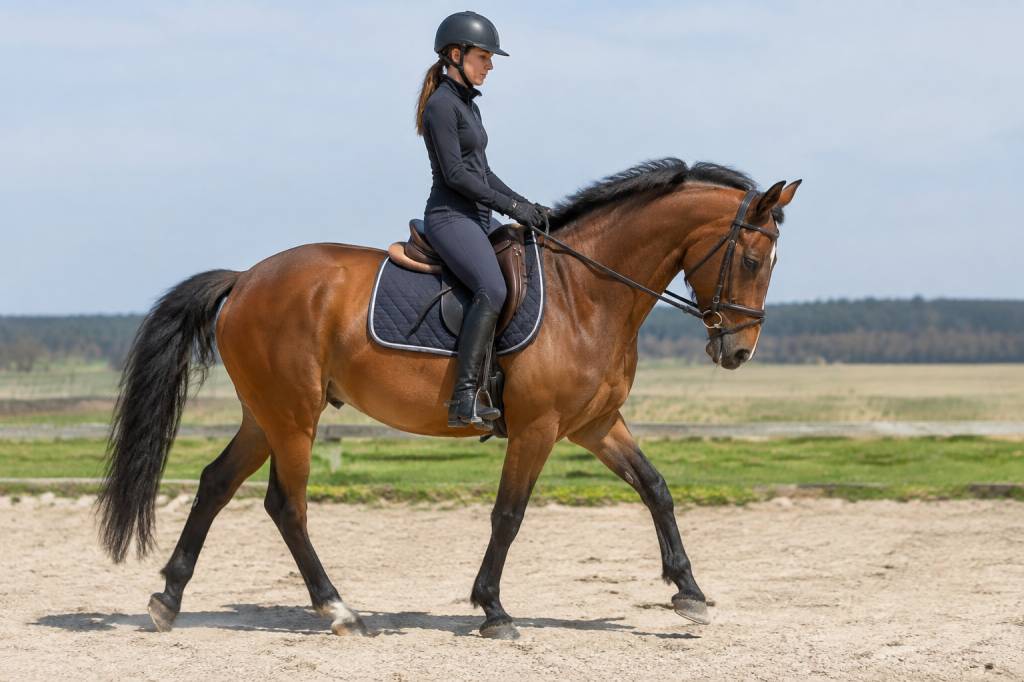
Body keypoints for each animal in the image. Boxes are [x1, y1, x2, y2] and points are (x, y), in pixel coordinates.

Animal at [97, 158, 800, 639]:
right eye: (753, 259)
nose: (738, 352)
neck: (587, 292)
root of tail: (245, 279)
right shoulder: (539, 427)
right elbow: (509, 515)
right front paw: (493, 609)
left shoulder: (596, 423)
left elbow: (656, 488)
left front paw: (689, 592)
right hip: (293, 417)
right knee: (285, 505)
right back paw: (338, 609)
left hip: (266, 414)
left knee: (215, 484)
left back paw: (168, 600)